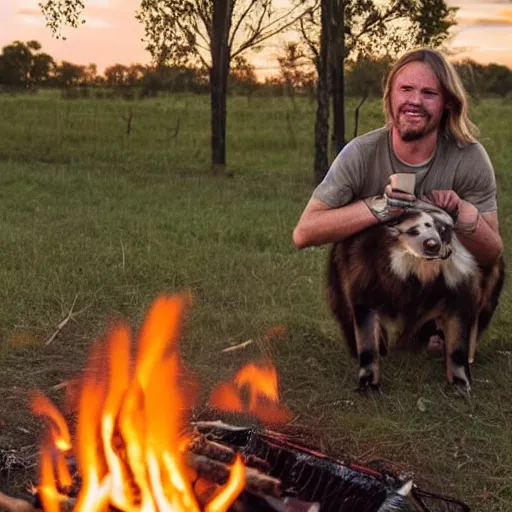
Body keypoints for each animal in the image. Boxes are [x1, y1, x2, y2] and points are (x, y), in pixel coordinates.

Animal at [326, 201, 506, 392]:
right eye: (413, 231)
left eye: (442, 229)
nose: (432, 245)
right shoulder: (364, 294)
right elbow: (368, 345)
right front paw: (368, 384)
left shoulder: (459, 297)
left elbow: (457, 347)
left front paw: (460, 384)